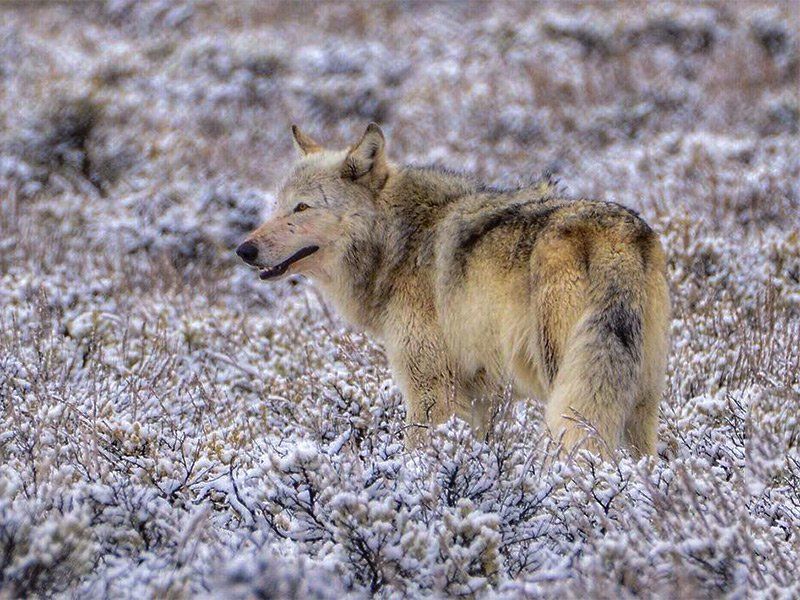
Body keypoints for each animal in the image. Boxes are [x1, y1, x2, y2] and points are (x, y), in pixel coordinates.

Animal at [237, 123, 670, 457]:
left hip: (565, 379)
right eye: (276, 206)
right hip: (638, 400)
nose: (244, 250)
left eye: (302, 208)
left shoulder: (430, 388)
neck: (398, 240)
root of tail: (618, 239)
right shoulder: (481, 394)